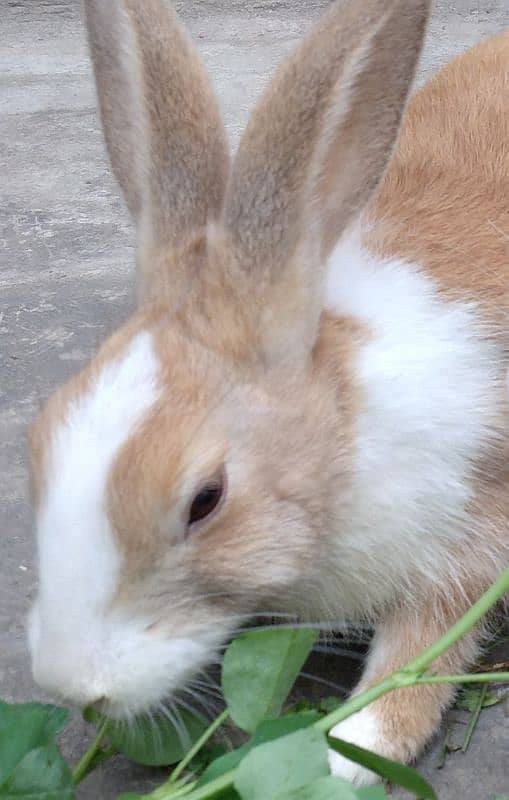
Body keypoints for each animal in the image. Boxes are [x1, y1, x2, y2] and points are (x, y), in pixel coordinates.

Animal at [27, 0, 508, 788]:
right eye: (36, 444)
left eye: (206, 499)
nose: (70, 682)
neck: (348, 432)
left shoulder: (467, 534)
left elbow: (418, 662)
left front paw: (340, 757)